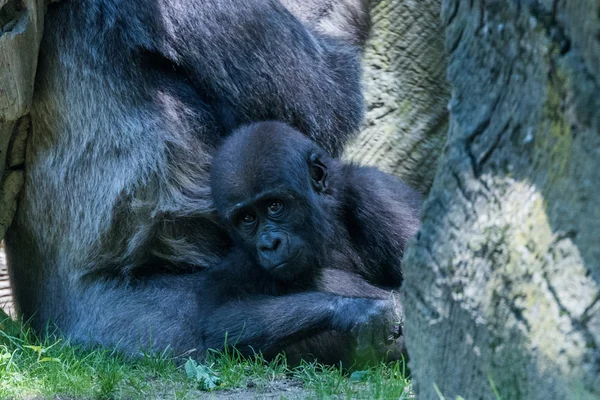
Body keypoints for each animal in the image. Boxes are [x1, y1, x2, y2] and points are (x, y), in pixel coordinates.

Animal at [206, 121, 422, 362]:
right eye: (247, 218)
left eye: (274, 205)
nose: (270, 244)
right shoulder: (243, 258)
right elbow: (218, 322)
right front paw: (359, 309)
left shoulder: (376, 194)